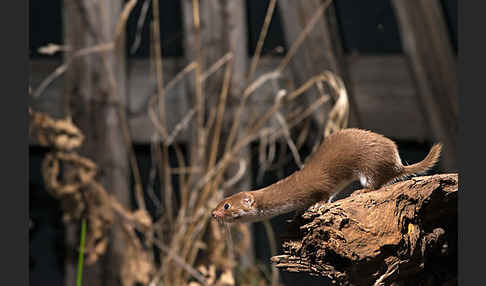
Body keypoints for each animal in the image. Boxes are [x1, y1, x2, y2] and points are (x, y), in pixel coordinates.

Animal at [211, 128, 442, 223]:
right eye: (219, 202)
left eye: (226, 206)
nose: (212, 214)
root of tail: (397, 162)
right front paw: (298, 213)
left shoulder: (317, 185)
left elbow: (325, 193)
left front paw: (317, 205)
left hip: (370, 165)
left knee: (376, 181)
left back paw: (361, 190)